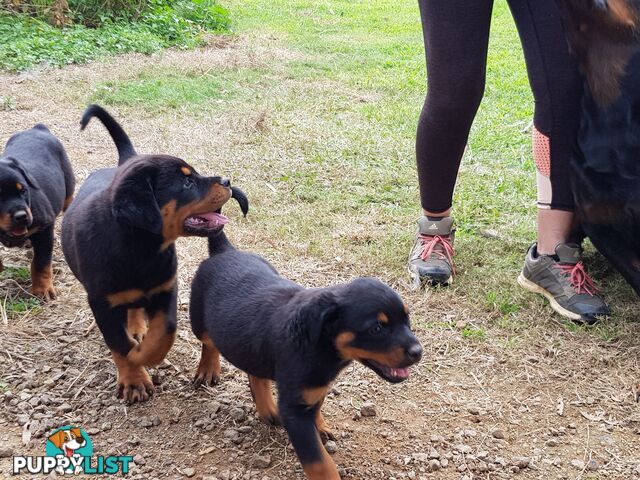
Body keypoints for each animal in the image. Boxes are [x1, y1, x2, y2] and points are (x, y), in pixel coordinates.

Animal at [0, 123, 75, 300]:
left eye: (23, 190)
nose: (22, 216)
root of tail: (38, 128)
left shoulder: (44, 229)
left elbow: (41, 262)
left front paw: (42, 290)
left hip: (68, 187)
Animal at [62, 106, 248, 404]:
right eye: (187, 182)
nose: (227, 180)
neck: (141, 248)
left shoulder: (166, 286)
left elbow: (167, 329)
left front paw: (147, 354)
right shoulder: (101, 302)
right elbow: (118, 343)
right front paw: (134, 379)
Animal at [188, 232, 422, 476]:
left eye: (407, 319)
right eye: (376, 328)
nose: (418, 352)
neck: (323, 346)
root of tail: (224, 249)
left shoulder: (316, 387)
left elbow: (317, 406)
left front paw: (319, 426)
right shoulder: (295, 410)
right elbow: (319, 462)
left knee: (255, 370)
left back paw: (267, 408)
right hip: (199, 320)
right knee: (209, 342)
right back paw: (208, 370)